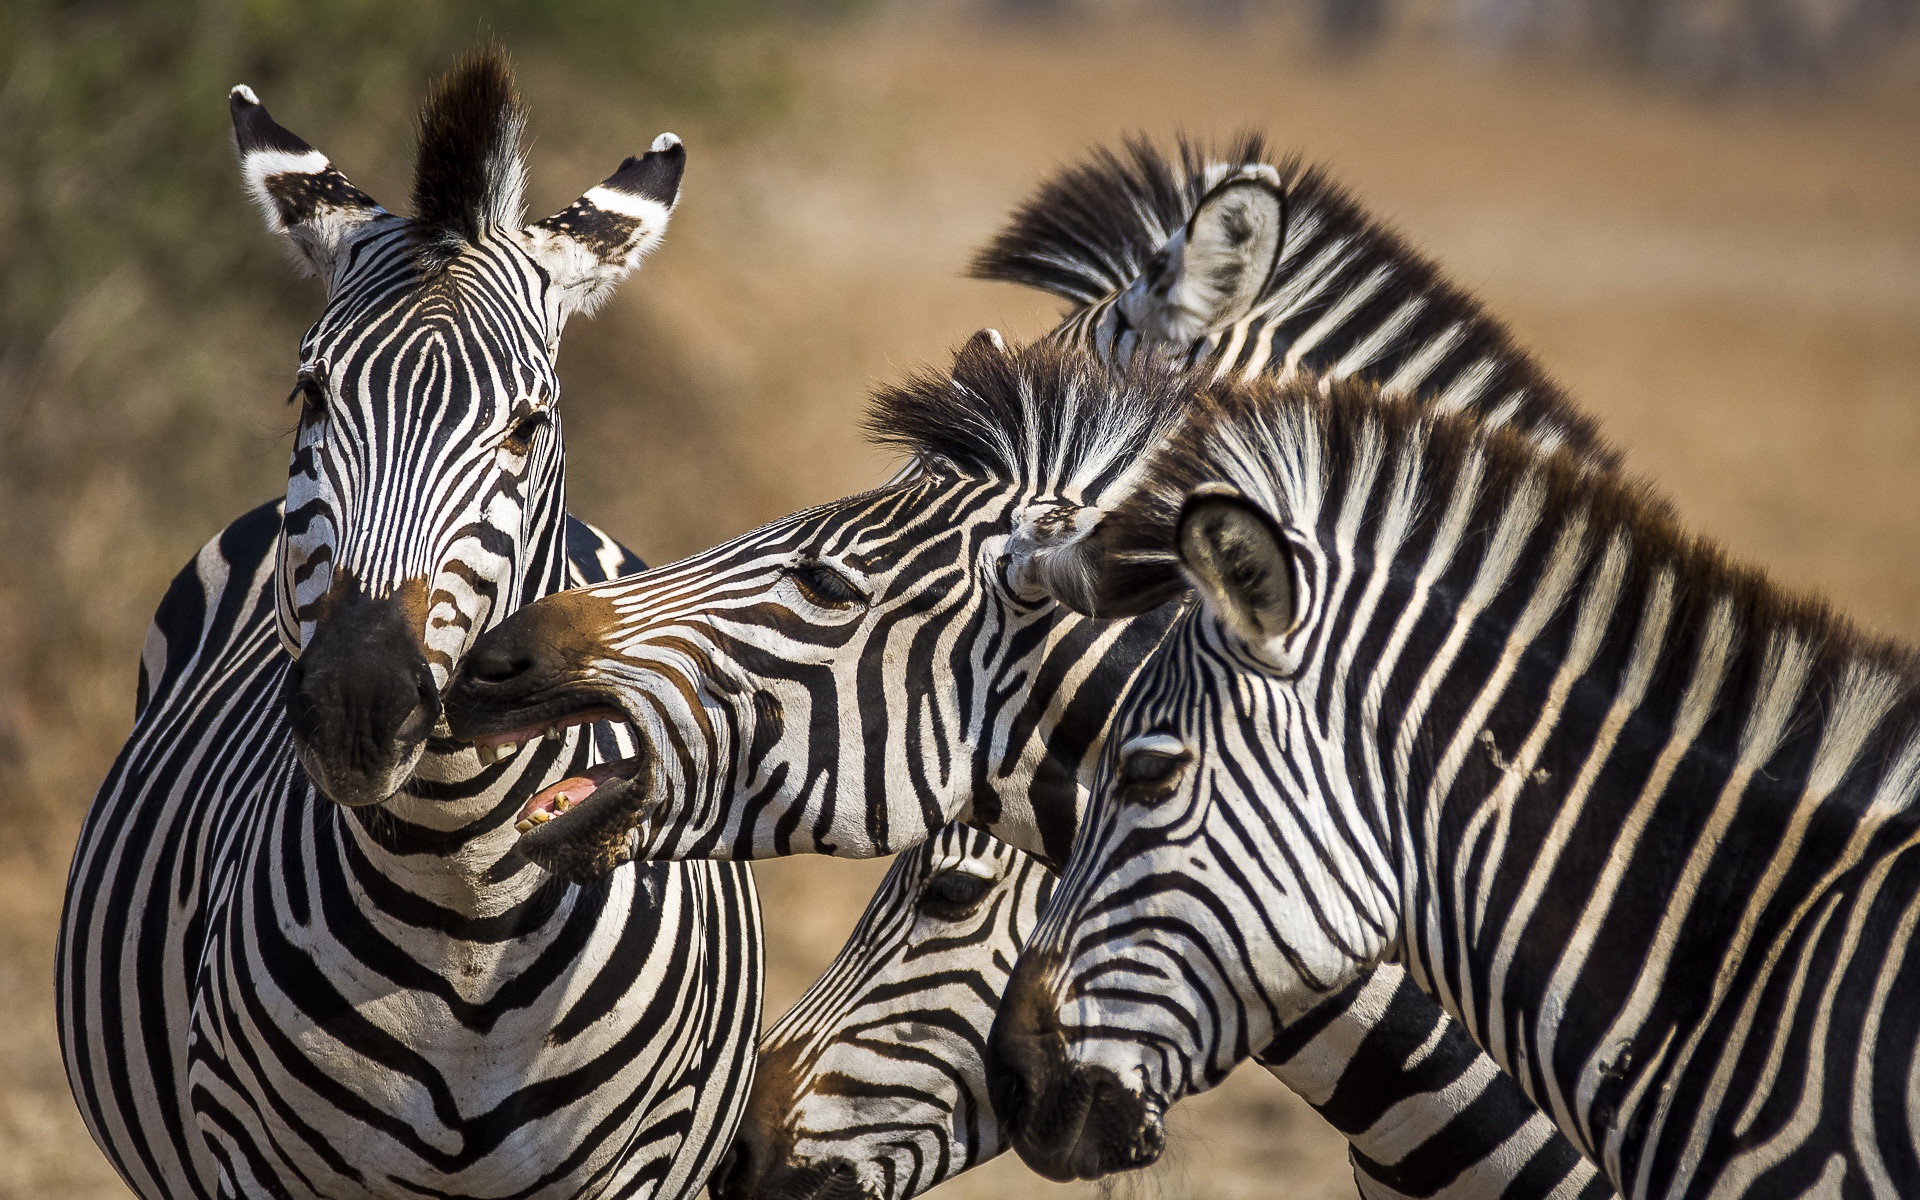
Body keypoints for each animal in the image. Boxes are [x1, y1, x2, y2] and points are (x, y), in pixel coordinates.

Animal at [54, 49, 756, 1198]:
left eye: (527, 424)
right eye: (308, 395)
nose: (358, 705)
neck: (462, 901)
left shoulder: (642, 1166)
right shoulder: (246, 1159)